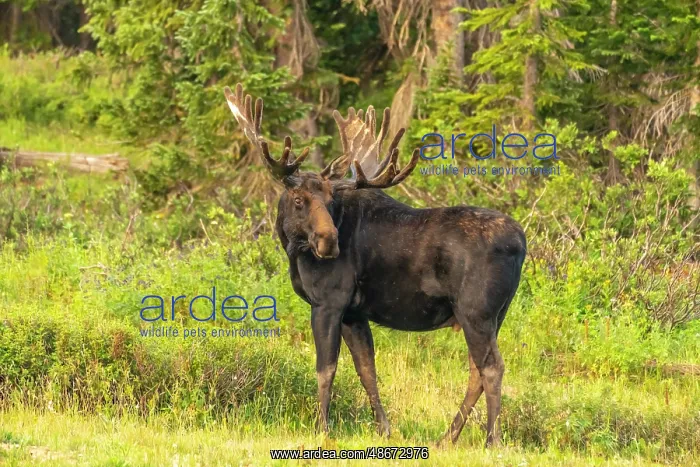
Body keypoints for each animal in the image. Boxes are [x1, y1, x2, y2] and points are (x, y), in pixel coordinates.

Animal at [223, 83, 527, 448]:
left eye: (329, 200)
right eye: (299, 200)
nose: (329, 241)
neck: (294, 251)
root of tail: (522, 243)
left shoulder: (329, 302)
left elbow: (326, 368)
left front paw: (323, 429)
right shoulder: (354, 312)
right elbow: (367, 369)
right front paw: (385, 429)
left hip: (475, 310)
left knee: (492, 367)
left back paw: (491, 440)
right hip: (494, 314)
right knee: (476, 371)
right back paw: (447, 437)